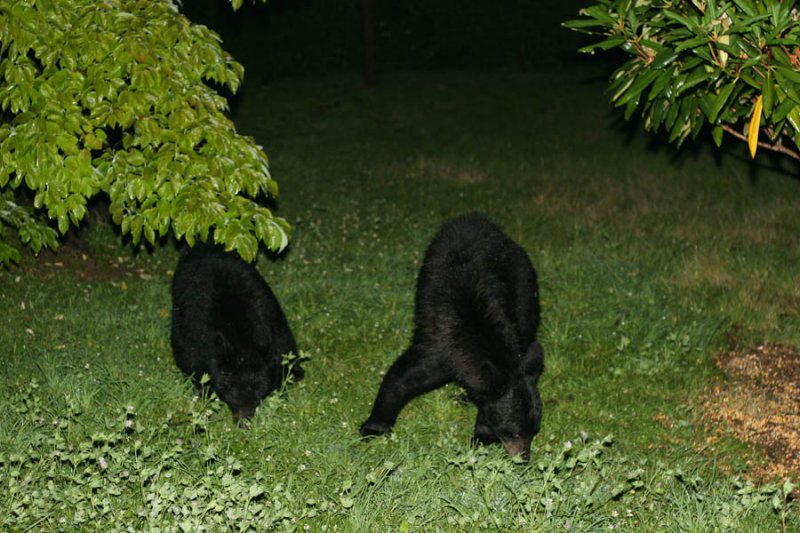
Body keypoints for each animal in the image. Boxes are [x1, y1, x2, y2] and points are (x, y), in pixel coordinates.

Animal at [360, 212, 544, 458]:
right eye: (513, 432)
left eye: (533, 431)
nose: (524, 459)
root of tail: (477, 218)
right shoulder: (439, 348)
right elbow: (403, 376)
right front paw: (374, 426)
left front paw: (483, 434)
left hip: (525, 287)